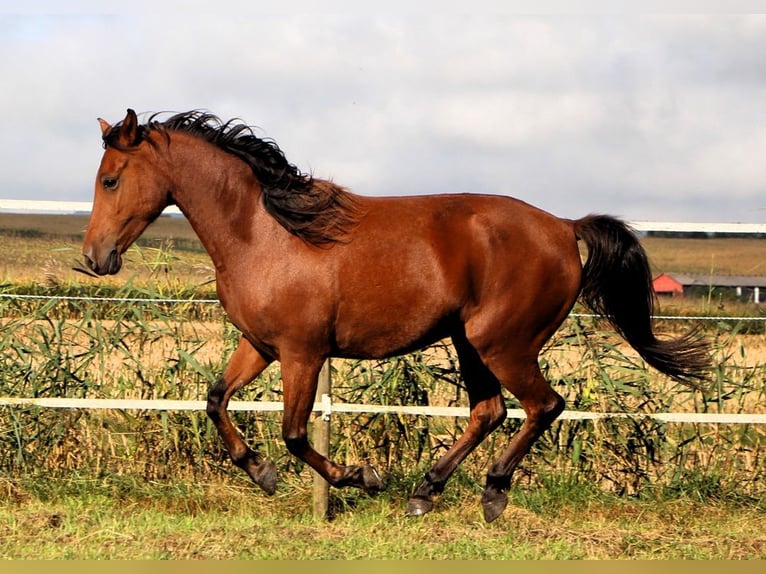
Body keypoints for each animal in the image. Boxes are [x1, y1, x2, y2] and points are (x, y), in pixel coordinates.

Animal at [81, 110, 712, 524]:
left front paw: (360, 477)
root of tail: (563, 226)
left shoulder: (303, 352)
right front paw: (260, 472)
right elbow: (214, 400)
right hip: (468, 342)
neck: (265, 233)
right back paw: (425, 491)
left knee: (544, 405)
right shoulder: (260, 345)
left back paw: (492, 493)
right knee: (489, 410)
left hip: (502, 343)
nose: (93, 258)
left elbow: (293, 432)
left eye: (111, 179)